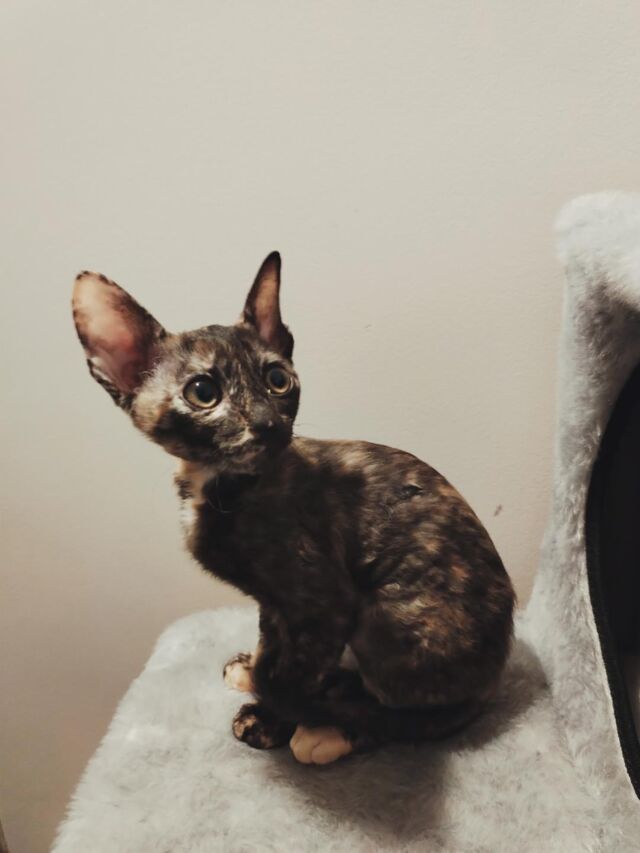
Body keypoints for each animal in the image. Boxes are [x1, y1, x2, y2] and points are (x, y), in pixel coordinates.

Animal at [72, 252, 515, 765]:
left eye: (278, 380)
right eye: (203, 392)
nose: (268, 423)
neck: (220, 486)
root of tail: (498, 670)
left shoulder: (324, 600)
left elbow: (293, 675)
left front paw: (272, 716)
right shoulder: (277, 600)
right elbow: (273, 642)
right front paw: (256, 668)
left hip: (387, 615)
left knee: (423, 713)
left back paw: (332, 727)